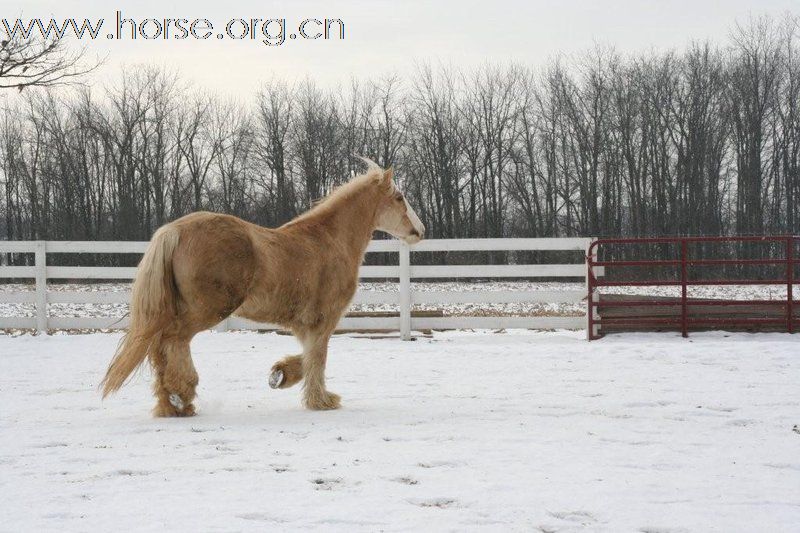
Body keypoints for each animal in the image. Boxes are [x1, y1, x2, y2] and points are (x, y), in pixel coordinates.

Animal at [100, 158, 424, 416]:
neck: (329, 241)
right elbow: (318, 357)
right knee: (173, 339)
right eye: (400, 197)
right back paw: (182, 395)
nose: (420, 230)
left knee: (158, 345)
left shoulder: (304, 324)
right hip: (207, 310)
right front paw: (321, 400)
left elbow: (307, 357)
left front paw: (280, 375)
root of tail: (174, 230)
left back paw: (169, 404)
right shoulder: (324, 319)